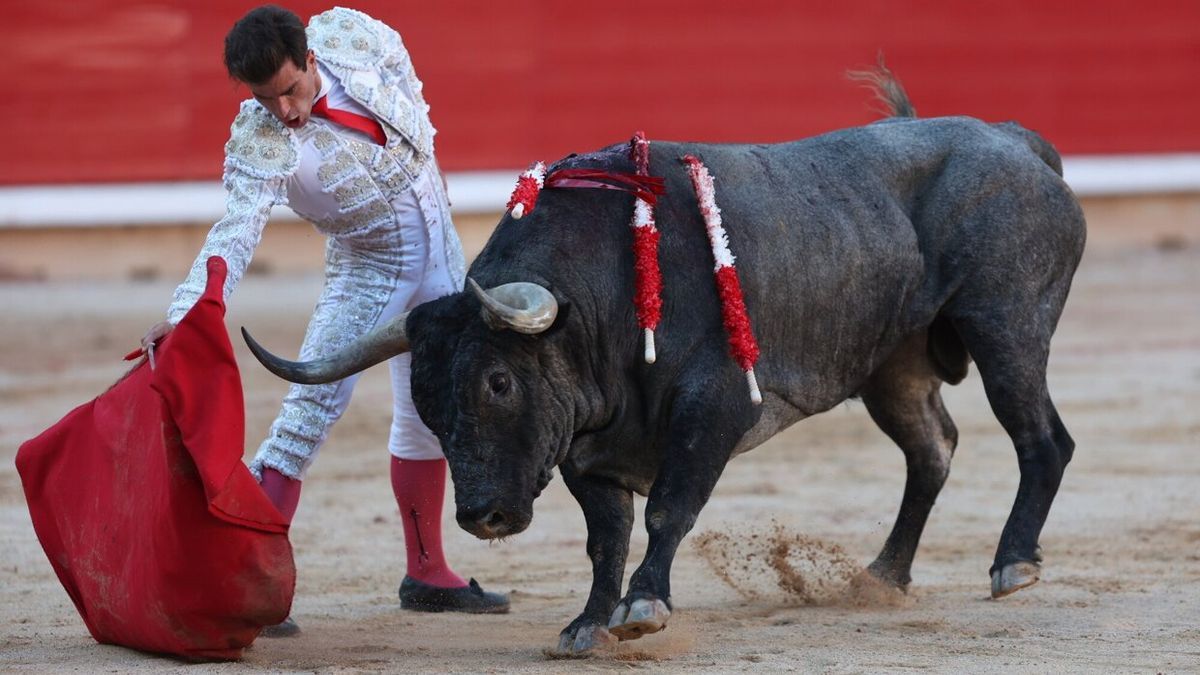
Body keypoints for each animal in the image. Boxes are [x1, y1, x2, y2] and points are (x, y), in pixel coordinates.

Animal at [243, 72, 1089, 653]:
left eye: (498, 380)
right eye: (426, 401)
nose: (483, 513)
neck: (605, 296)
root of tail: (1017, 141)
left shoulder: (715, 408)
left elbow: (668, 509)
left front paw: (644, 605)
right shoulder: (587, 445)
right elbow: (606, 535)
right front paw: (589, 621)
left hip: (1007, 326)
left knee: (1041, 438)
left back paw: (1013, 564)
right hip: (895, 367)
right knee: (932, 448)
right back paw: (882, 575)